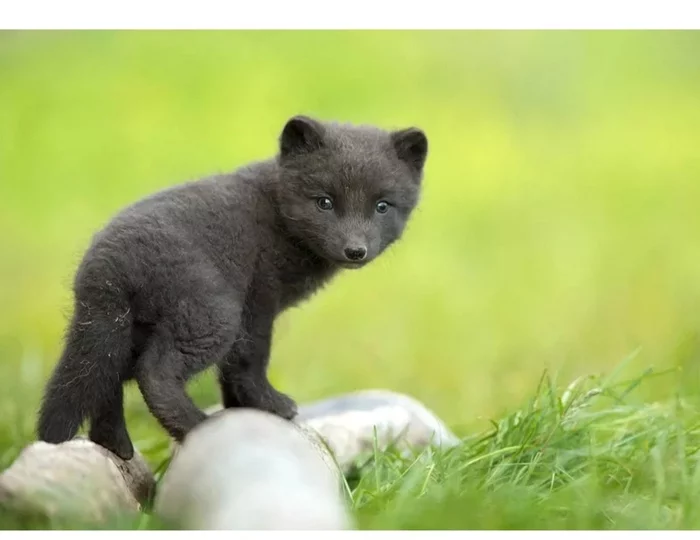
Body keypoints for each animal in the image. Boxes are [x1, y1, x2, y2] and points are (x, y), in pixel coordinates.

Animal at [37, 115, 429, 460]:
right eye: (324, 201)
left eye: (382, 206)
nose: (355, 250)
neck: (277, 216)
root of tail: (108, 270)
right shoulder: (258, 298)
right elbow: (250, 359)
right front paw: (271, 405)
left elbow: (233, 370)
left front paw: (241, 410)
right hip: (213, 313)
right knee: (154, 372)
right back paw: (196, 427)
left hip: (119, 329)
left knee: (104, 379)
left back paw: (117, 446)